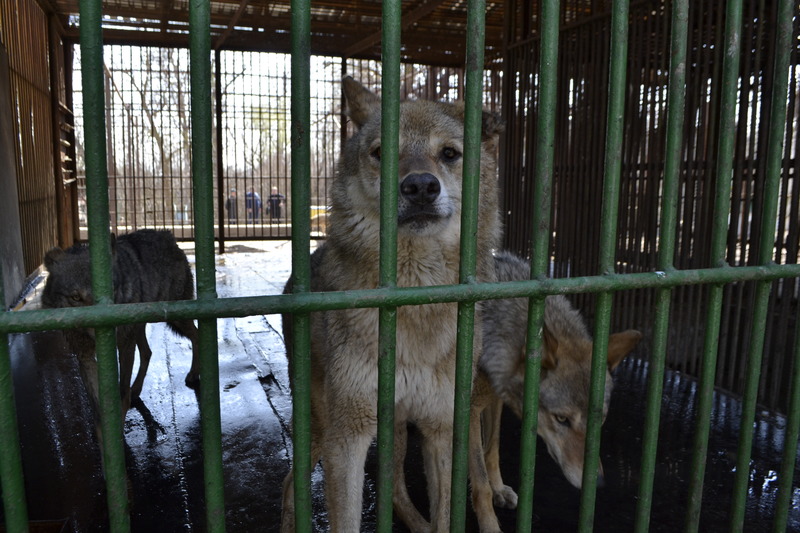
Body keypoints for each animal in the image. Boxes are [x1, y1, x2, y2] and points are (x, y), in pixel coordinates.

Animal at [42, 229, 202, 420]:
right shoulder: (85, 356)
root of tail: (168, 235)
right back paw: (137, 390)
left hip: (174, 318)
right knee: (147, 352)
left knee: (196, 335)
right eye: (76, 297)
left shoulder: (124, 346)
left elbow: (122, 395)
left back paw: (194, 374)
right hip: (140, 328)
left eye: (110, 292)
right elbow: (100, 407)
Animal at [280, 76, 500, 532]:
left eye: (448, 154)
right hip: (320, 426)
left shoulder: (442, 428)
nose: (420, 186)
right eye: (381, 152)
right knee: (291, 484)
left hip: (394, 428)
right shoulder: (348, 437)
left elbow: (445, 515)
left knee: (395, 488)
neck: (415, 299)